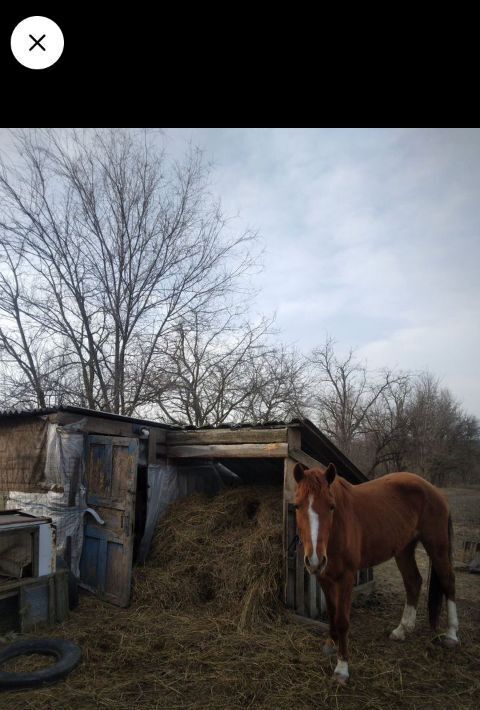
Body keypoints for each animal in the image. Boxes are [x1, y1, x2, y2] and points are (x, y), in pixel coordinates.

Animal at [294, 464, 460, 688]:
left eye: (331, 506)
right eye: (297, 506)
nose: (314, 559)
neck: (338, 527)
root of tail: (435, 491)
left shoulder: (346, 578)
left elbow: (342, 620)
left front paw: (342, 669)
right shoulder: (324, 577)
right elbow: (331, 612)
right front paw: (331, 644)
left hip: (437, 546)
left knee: (448, 581)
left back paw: (451, 634)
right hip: (404, 549)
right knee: (413, 582)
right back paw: (402, 630)